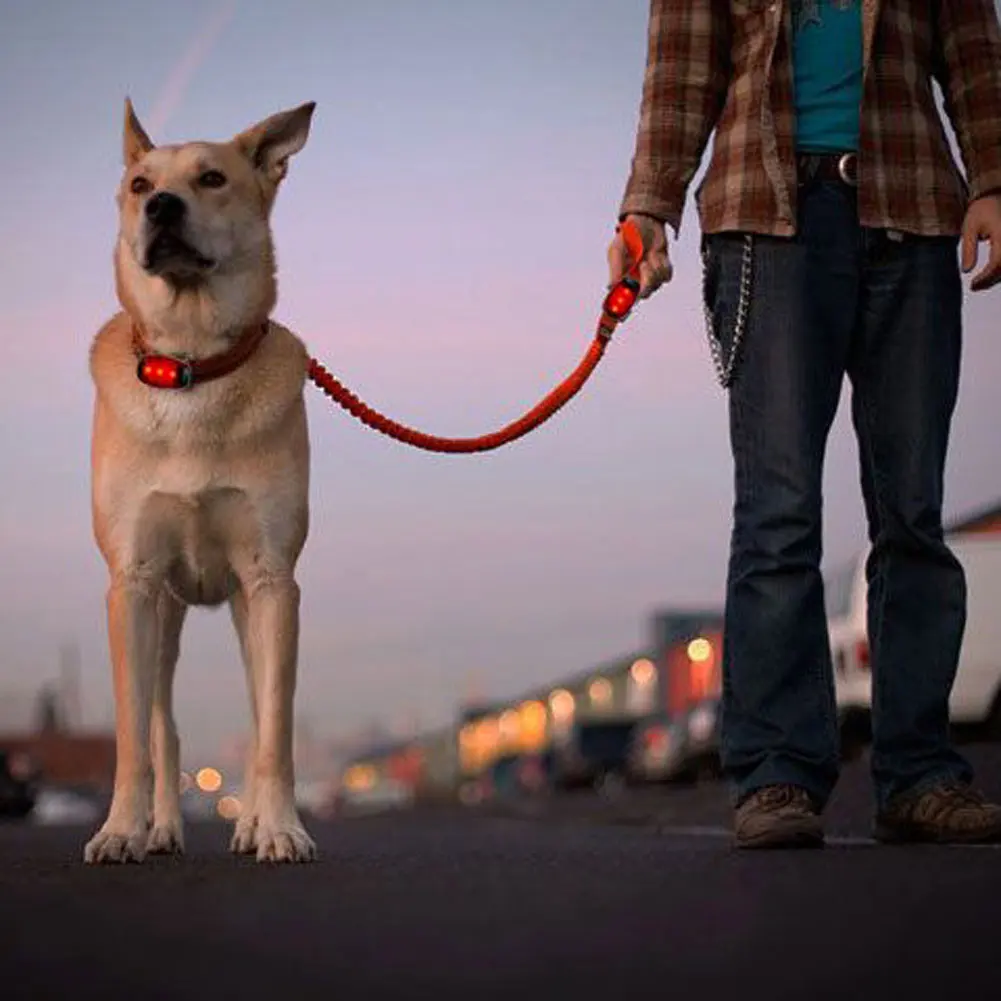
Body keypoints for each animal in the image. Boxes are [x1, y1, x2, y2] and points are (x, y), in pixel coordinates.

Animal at [89, 103, 318, 868]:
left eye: (212, 178)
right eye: (138, 184)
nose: (161, 205)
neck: (192, 367)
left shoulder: (273, 581)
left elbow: (274, 727)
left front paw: (279, 827)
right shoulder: (132, 582)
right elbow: (133, 734)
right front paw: (120, 829)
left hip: (247, 606)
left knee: (256, 704)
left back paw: (250, 823)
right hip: (163, 614)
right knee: (163, 726)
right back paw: (159, 827)